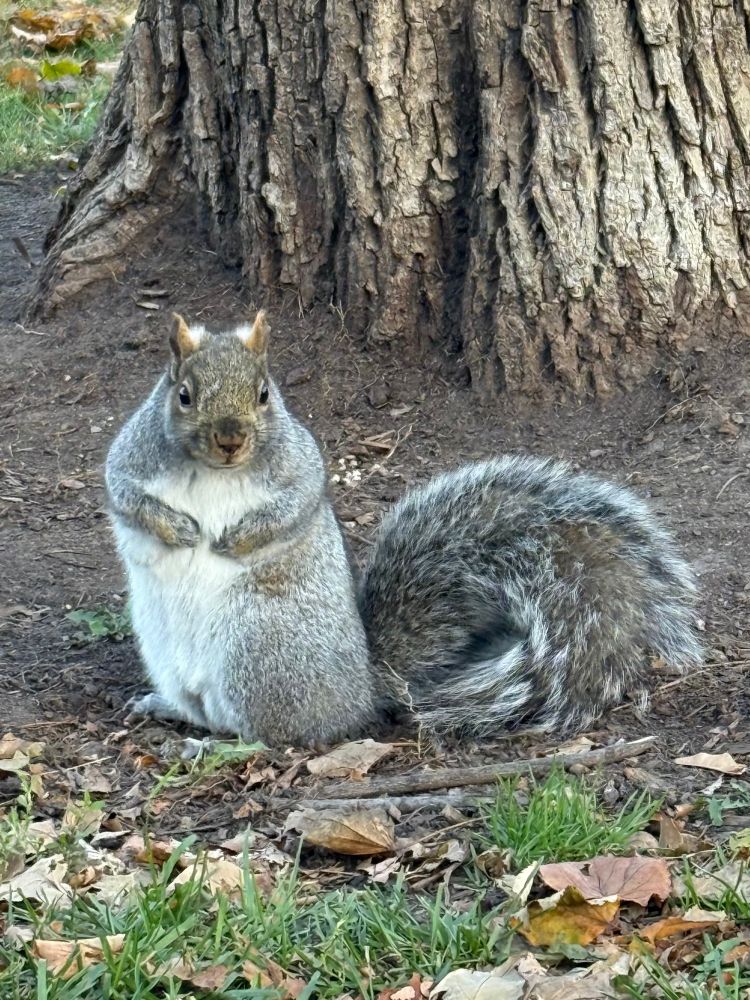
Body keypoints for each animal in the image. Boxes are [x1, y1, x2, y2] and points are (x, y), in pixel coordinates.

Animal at [106, 312, 701, 746]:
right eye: (183, 394)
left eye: (264, 394)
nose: (230, 440)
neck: (215, 472)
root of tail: (360, 690)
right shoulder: (128, 460)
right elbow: (124, 496)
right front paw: (177, 529)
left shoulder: (301, 467)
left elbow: (293, 507)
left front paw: (237, 538)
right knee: (210, 712)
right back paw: (165, 707)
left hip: (258, 650)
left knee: (269, 734)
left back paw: (213, 744)